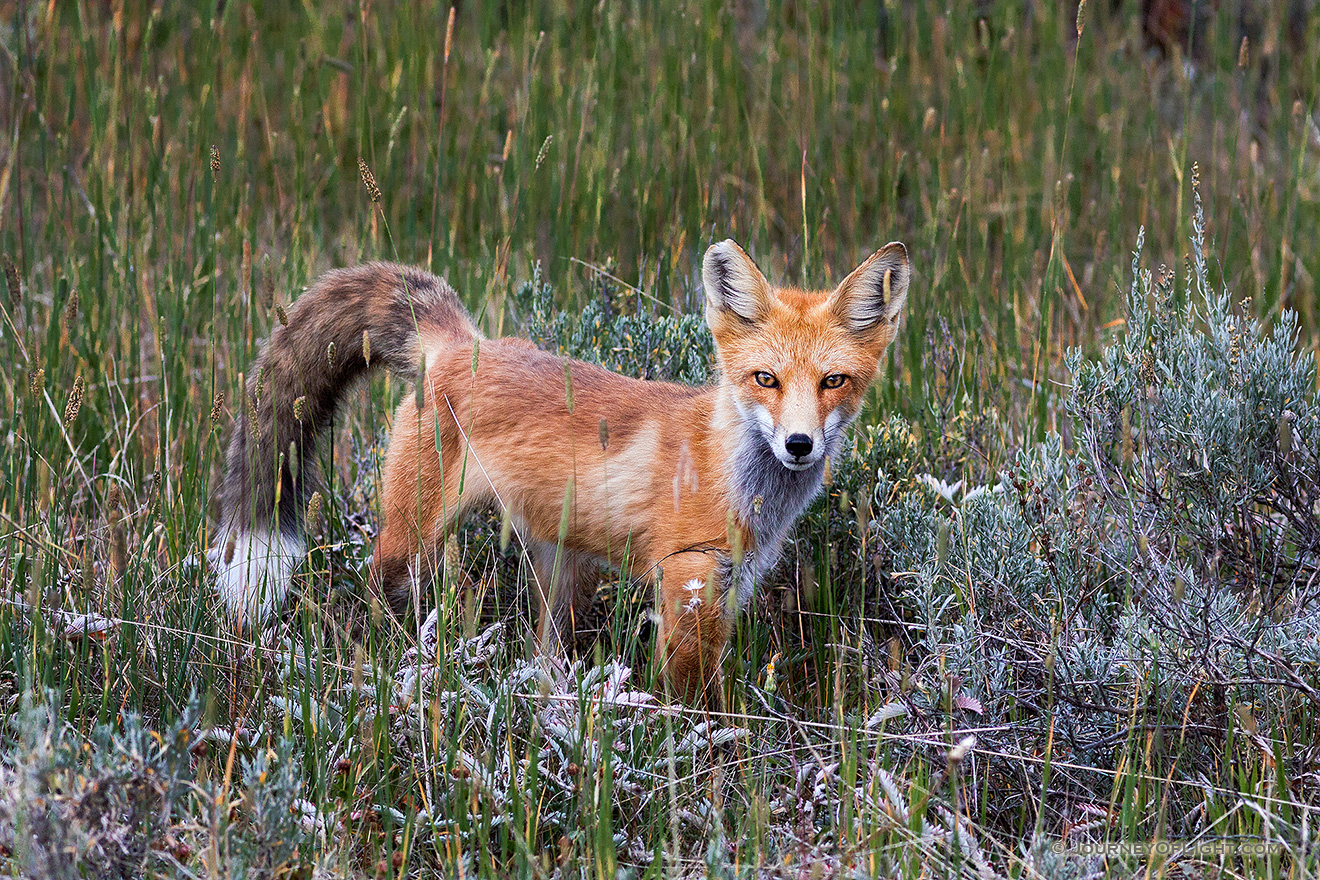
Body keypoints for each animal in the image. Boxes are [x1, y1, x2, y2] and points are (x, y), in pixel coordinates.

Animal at [213, 241, 908, 707]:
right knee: (378, 592)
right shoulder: (685, 577)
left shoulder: (728, 587)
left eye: (833, 382)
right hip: (411, 541)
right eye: (766, 379)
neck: (735, 480)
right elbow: (694, 701)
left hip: (560, 578)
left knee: (544, 652)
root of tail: (463, 342)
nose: (799, 444)